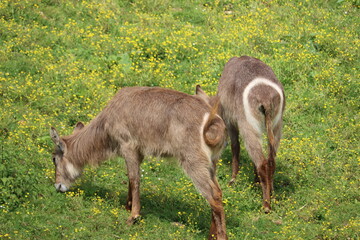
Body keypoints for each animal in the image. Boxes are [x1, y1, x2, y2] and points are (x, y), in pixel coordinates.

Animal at [49, 86, 228, 240]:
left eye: (54, 158)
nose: (58, 186)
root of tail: (215, 121)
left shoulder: (128, 146)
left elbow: (134, 179)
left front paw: (132, 216)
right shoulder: (138, 152)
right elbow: (130, 178)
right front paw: (127, 206)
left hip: (193, 162)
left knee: (213, 195)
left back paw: (220, 236)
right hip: (211, 164)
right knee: (217, 192)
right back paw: (211, 234)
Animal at [200, 56, 284, 214]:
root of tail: (265, 99)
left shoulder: (230, 122)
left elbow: (235, 147)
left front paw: (233, 180)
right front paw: (255, 181)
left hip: (248, 127)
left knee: (262, 162)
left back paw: (266, 206)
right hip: (276, 127)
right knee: (270, 161)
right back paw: (271, 194)